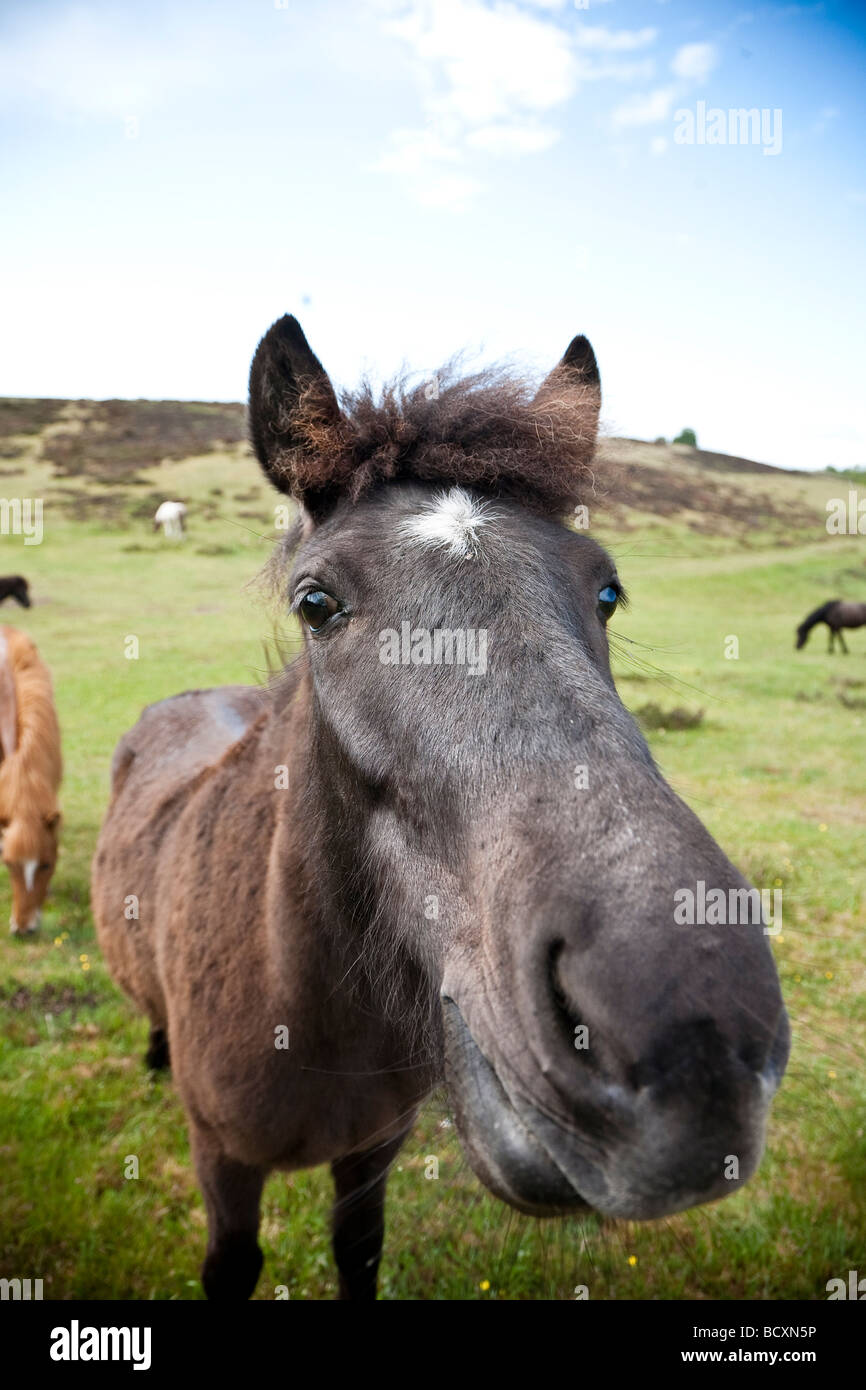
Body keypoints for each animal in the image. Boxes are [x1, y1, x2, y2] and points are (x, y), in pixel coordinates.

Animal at [91, 315, 789, 1301]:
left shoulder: (374, 1151)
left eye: (607, 590)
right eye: (316, 601)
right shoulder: (221, 1162)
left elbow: (359, 1250)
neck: (308, 1013)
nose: (697, 1038)